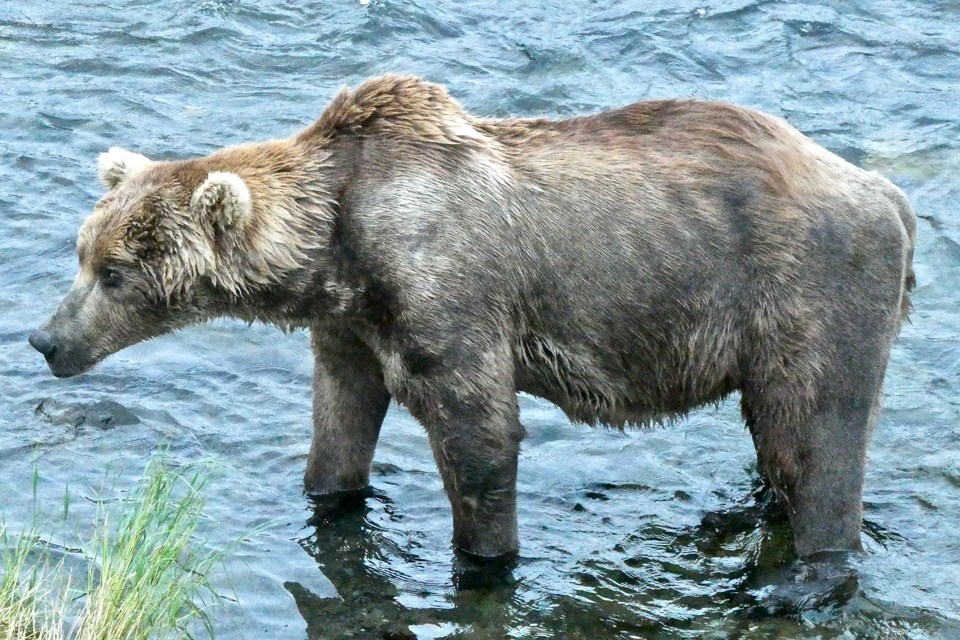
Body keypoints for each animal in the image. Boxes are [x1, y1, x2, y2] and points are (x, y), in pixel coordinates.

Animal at [30, 74, 916, 562]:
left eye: (114, 272)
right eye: (81, 252)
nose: (45, 339)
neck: (338, 248)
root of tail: (884, 191)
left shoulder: (446, 292)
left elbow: (480, 437)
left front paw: (485, 556)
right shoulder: (351, 328)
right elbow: (341, 422)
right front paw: (327, 496)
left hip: (803, 293)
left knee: (817, 439)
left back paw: (807, 570)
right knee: (776, 439)